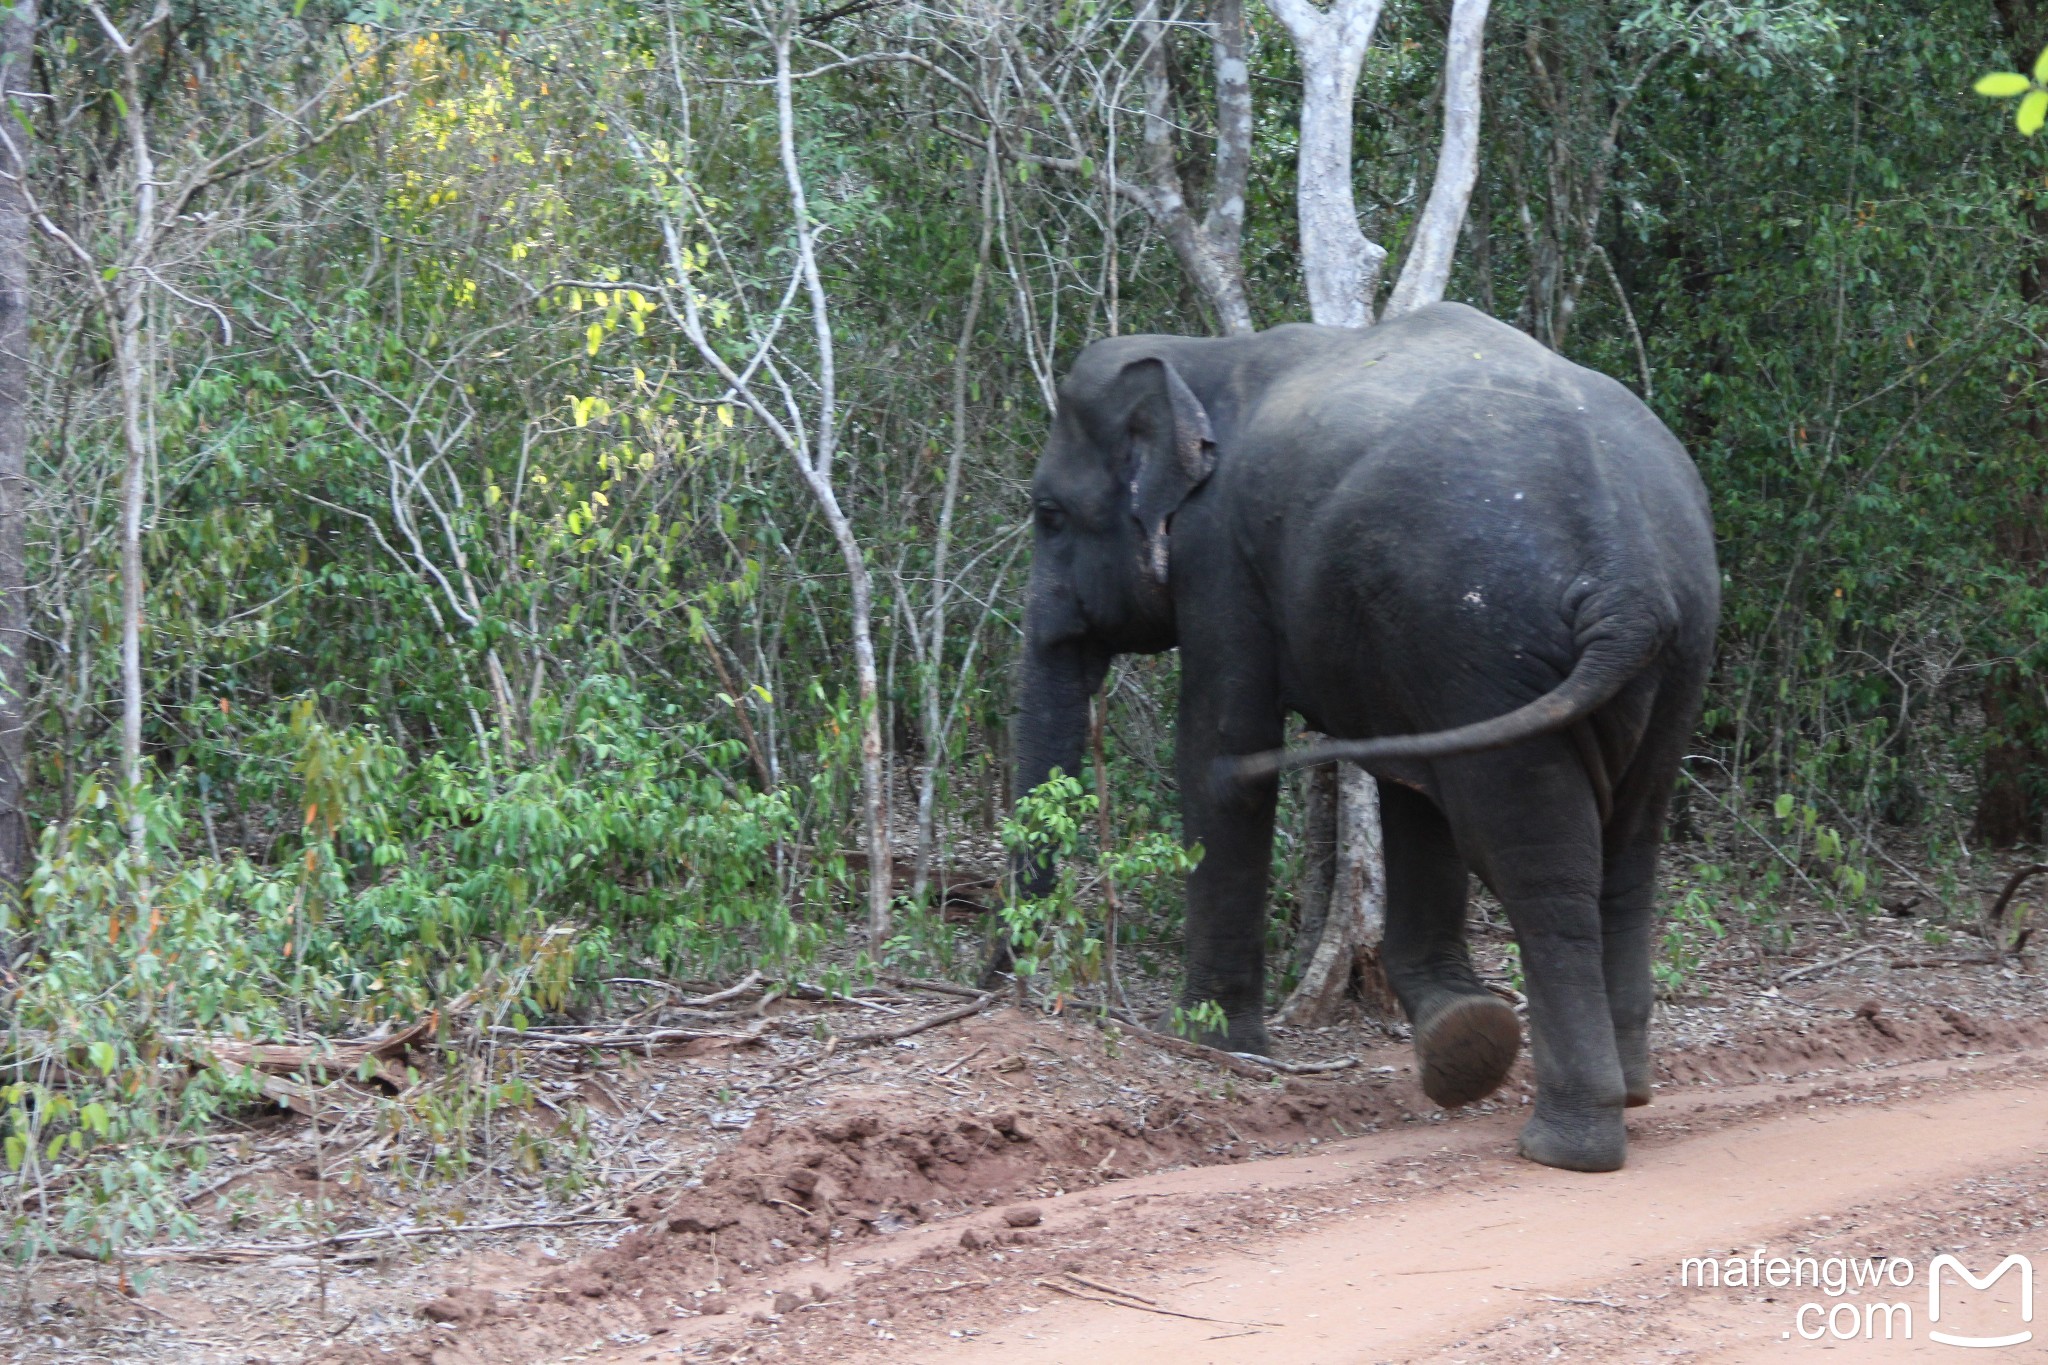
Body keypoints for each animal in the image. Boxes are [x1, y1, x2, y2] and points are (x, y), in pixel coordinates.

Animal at [1015, 300, 1720, 1178]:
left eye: (1048, 514)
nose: (1018, 985)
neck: (1198, 359)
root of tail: (1628, 585)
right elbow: (1409, 785)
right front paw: (1460, 1032)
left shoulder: (1223, 560)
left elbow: (1220, 759)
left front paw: (1214, 1043)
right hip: (1663, 653)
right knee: (1624, 848)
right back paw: (1624, 1091)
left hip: (1493, 634)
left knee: (1534, 857)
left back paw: (1566, 1146)